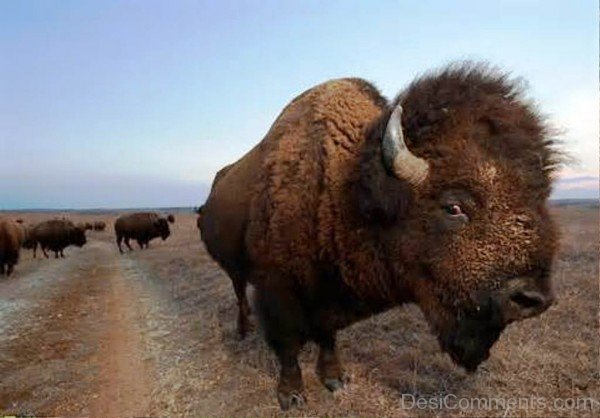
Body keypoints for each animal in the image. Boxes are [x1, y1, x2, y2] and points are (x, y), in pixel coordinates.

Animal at [202, 63, 564, 410]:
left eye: (539, 199)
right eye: (453, 206)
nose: (532, 299)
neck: (341, 190)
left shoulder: (328, 297)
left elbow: (327, 335)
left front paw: (335, 379)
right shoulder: (277, 289)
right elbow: (287, 345)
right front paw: (291, 396)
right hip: (235, 269)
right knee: (239, 293)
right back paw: (243, 330)